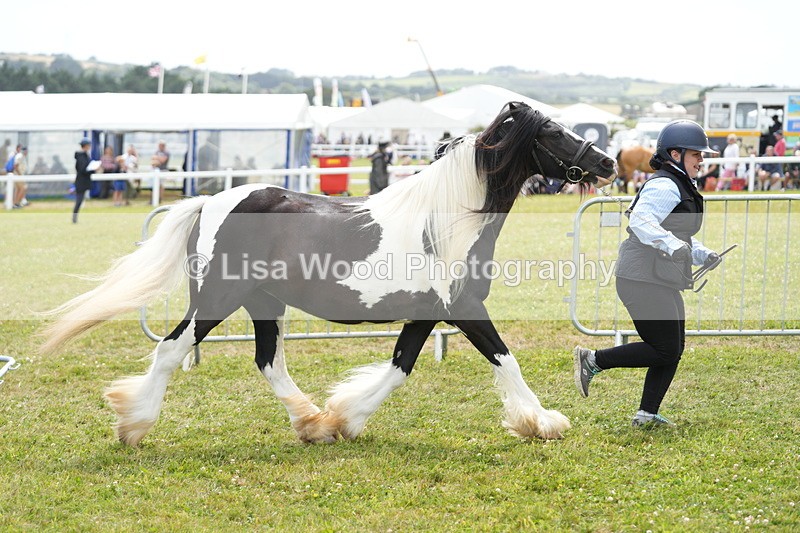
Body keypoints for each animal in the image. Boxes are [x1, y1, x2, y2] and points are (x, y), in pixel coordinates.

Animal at [42, 102, 616, 447]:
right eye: (553, 132)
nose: (608, 163)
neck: (448, 220)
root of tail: (211, 202)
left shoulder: (427, 316)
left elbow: (400, 366)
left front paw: (345, 417)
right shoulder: (465, 309)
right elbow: (505, 358)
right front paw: (543, 422)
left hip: (263, 302)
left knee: (268, 361)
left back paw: (312, 423)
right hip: (218, 298)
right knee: (171, 350)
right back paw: (134, 425)